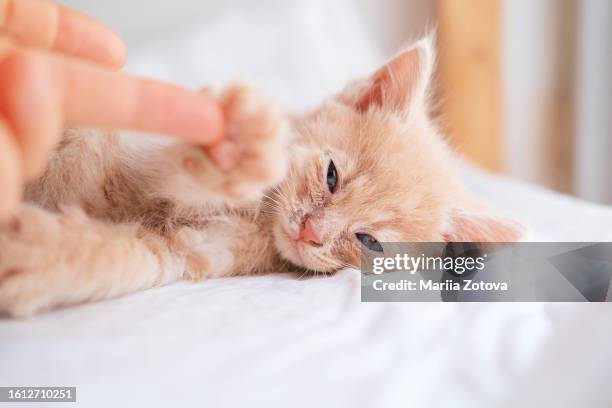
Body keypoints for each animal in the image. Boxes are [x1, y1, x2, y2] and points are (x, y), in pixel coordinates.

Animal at [0, 38, 524, 318]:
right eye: (331, 176)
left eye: (369, 242)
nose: (311, 232)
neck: (257, 217)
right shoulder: (137, 152)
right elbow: (175, 165)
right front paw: (239, 148)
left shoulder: (192, 251)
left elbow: (133, 257)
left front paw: (43, 258)